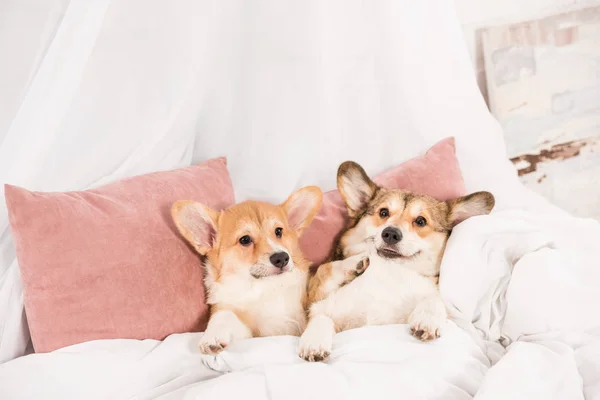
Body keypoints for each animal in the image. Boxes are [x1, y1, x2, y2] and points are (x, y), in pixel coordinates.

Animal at [172, 186, 322, 354]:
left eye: (278, 231)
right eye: (245, 240)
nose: (282, 258)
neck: (266, 288)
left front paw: (314, 339)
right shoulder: (248, 329)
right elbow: (223, 315)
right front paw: (212, 336)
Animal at [298, 161, 492, 360]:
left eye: (421, 221)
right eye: (383, 212)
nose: (390, 233)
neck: (389, 271)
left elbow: (435, 300)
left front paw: (427, 318)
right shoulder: (316, 304)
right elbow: (324, 285)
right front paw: (314, 341)